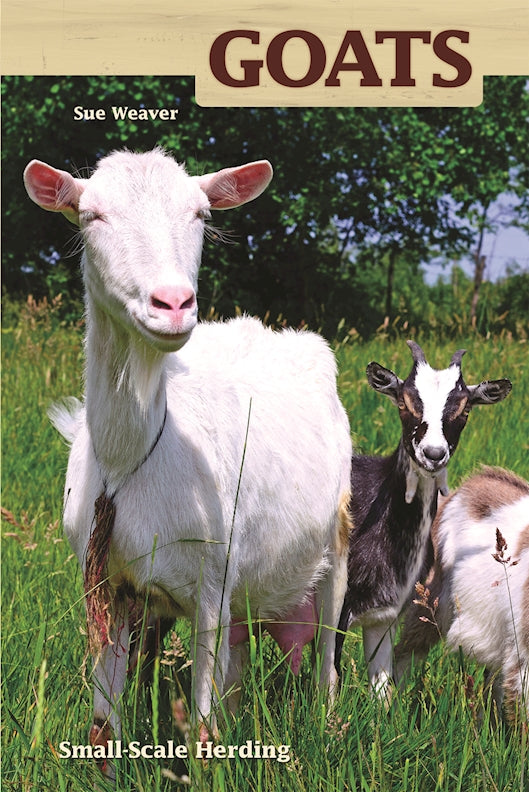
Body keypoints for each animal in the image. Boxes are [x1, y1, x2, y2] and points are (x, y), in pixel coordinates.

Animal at [24, 149, 352, 772]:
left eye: (201, 214)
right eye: (91, 214)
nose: (173, 304)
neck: (132, 460)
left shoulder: (209, 586)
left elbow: (201, 731)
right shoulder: (106, 583)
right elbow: (104, 728)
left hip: (336, 540)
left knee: (325, 645)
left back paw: (328, 720)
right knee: (239, 660)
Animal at [334, 341, 511, 702]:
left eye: (465, 409)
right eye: (404, 401)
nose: (433, 454)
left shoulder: (386, 615)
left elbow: (382, 695)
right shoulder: (336, 608)